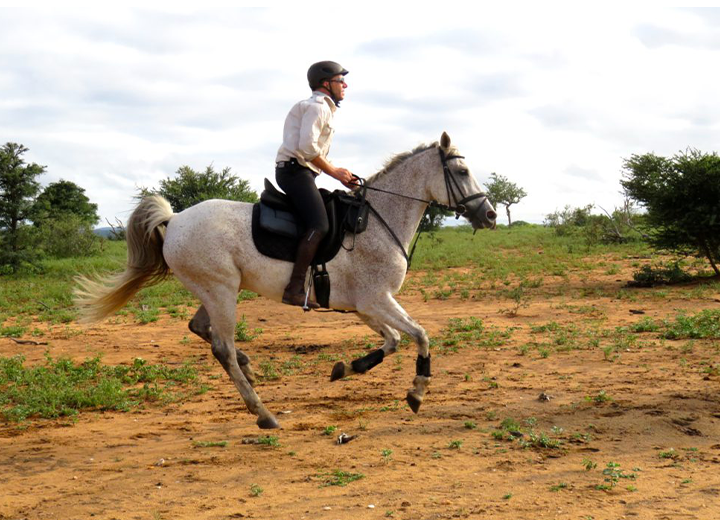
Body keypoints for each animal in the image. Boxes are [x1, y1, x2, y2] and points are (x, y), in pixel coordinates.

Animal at [75, 132, 497, 429]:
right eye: (462, 172)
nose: (490, 215)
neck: (378, 220)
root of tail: (175, 218)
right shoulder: (376, 299)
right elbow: (420, 335)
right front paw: (417, 392)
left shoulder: (364, 305)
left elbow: (392, 340)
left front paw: (347, 368)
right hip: (221, 291)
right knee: (222, 347)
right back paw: (262, 412)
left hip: (215, 291)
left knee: (201, 329)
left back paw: (249, 368)